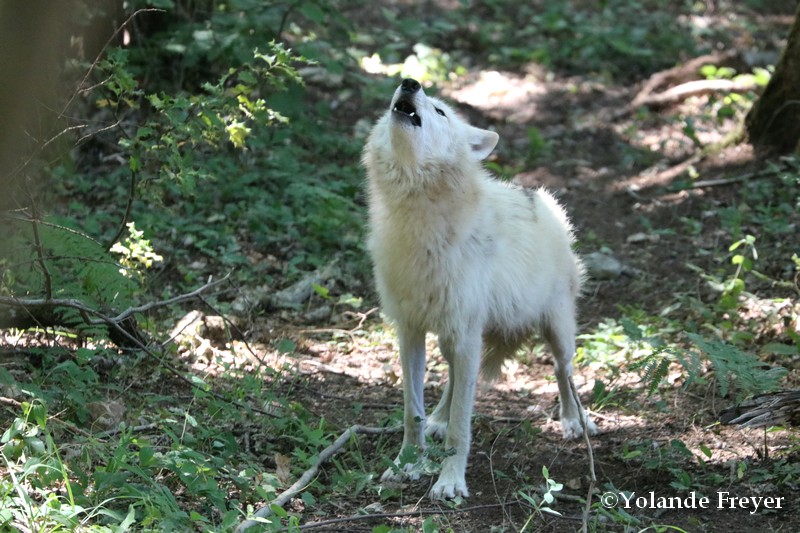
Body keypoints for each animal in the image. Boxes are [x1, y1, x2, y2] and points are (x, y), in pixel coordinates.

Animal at [360, 79, 592, 498]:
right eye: (401, 95)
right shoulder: (410, 330)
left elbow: (461, 425)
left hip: (557, 331)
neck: (420, 220)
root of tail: (545, 203)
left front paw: (449, 481)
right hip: (449, 338)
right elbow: (412, 411)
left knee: (563, 371)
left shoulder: (465, 332)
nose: (409, 82)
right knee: (453, 377)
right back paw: (437, 417)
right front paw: (407, 463)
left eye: (440, 112)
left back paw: (574, 421)